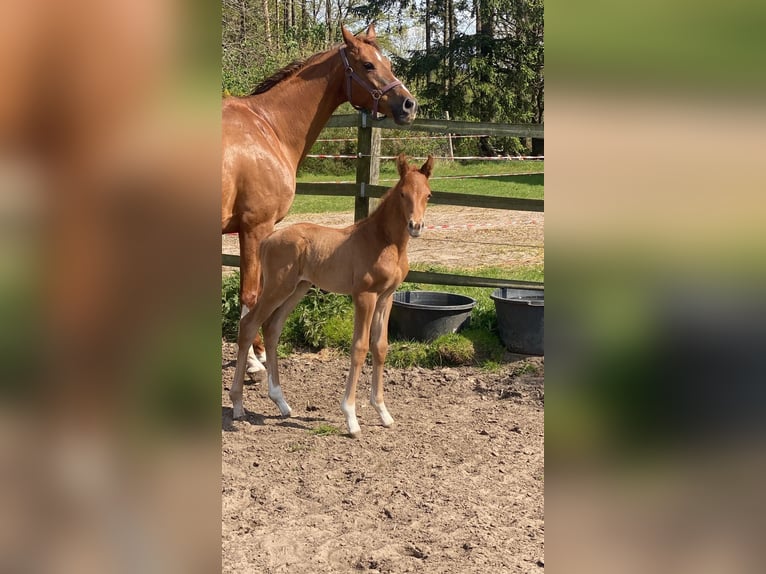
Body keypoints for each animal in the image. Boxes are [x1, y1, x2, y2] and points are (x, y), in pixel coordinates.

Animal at [222, 24, 417, 377]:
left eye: (388, 63)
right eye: (368, 64)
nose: (409, 105)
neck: (267, 126)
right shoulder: (255, 227)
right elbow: (251, 293)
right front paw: (255, 362)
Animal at [230, 154, 434, 437]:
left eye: (428, 194)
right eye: (403, 193)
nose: (416, 226)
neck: (383, 241)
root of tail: (268, 239)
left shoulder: (386, 297)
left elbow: (380, 347)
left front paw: (383, 412)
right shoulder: (365, 295)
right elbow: (359, 347)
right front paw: (351, 418)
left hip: (298, 288)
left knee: (272, 327)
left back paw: (282, 403)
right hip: (277, 287)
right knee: (249, 325)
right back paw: (238, 405)